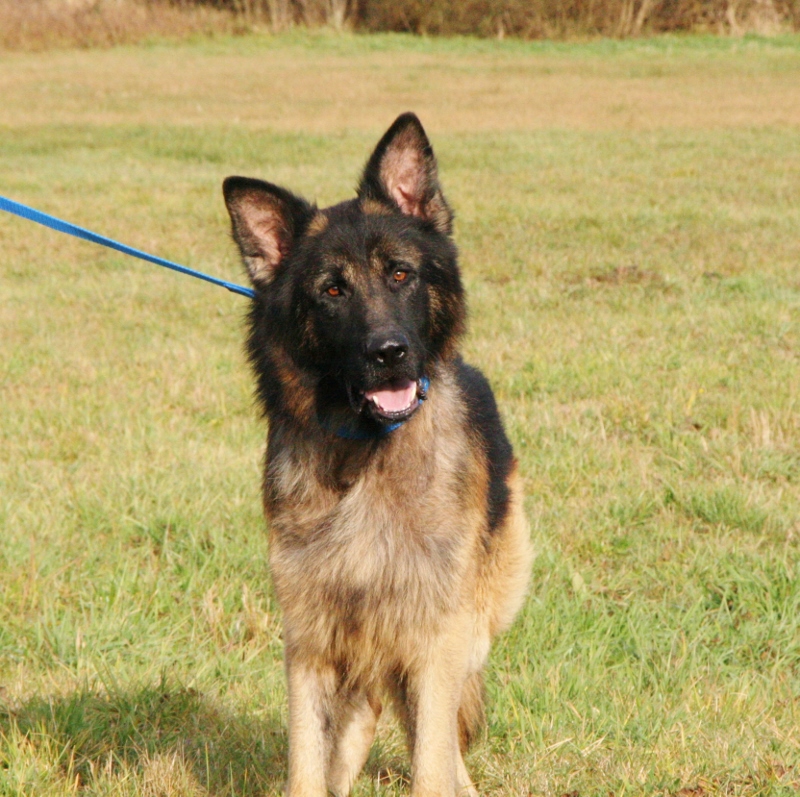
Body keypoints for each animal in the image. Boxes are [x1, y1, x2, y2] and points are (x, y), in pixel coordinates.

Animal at [222, 112, 532, 797]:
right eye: (332, 291)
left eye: (400, 274)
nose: (389, 352)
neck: (365, 462)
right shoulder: (311, 641)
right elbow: (308, 766)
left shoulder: (431, 639)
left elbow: (431, 763)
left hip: (465, 627)